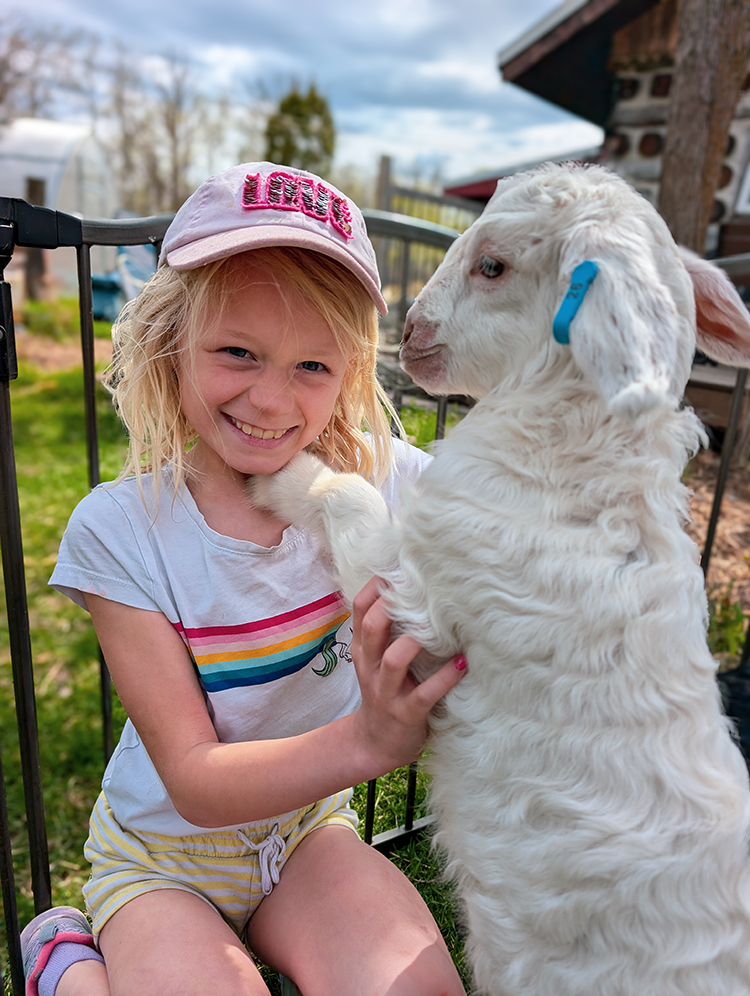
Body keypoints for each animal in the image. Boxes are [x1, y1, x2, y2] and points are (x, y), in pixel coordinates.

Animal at [251, 163, 750, 995]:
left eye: (493, 266)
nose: (411, 332)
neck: (582, 481)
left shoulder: (421, 599)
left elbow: (349, 495)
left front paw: (283, 476)